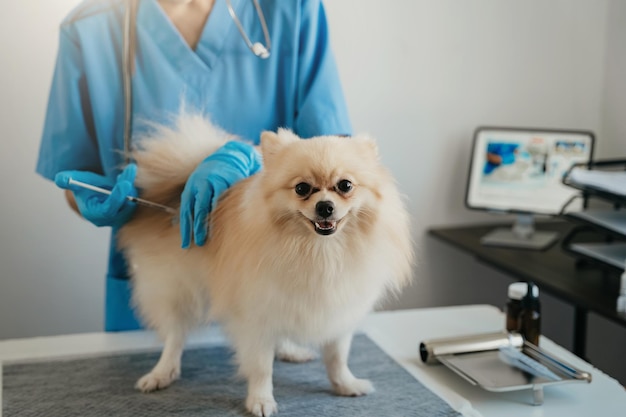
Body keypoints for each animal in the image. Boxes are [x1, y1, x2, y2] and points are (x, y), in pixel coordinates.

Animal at [116, 112, 414, 414]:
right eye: (302, 188)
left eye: (345, 185)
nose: (325, 206)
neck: (319, 251)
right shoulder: (254, 315)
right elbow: (260, 366)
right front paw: (260, 400)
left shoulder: (337, 309)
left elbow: (337, 357)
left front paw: (345, 384)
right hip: (176, 289)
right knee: (174, 336)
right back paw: (162, 372)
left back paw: (289, 351)